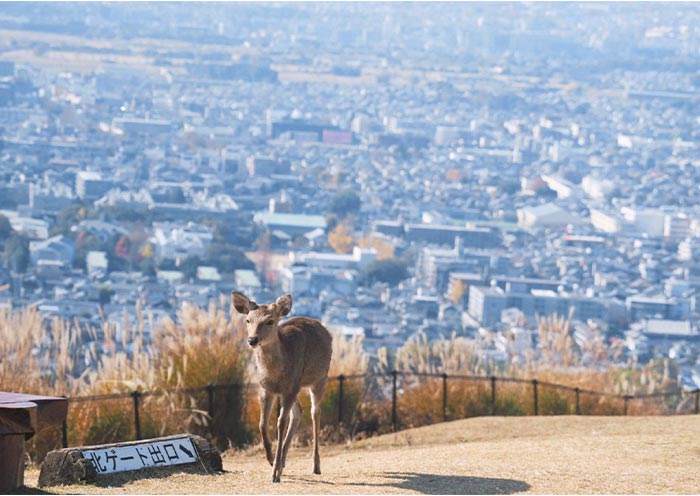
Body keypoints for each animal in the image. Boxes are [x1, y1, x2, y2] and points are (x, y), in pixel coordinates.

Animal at [232, 290, 334, 484]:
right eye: (248, 320)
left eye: (270, 321)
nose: (252, 339)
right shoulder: (266, 389)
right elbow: (263, 424)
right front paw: (272, 460)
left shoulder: (290, 387)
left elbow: (280, 423)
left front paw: (274, 474)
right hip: (295, 387)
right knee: (298, 412)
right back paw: (282, 463)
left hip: (319, 378)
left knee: (314, 413)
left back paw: (315, 466)